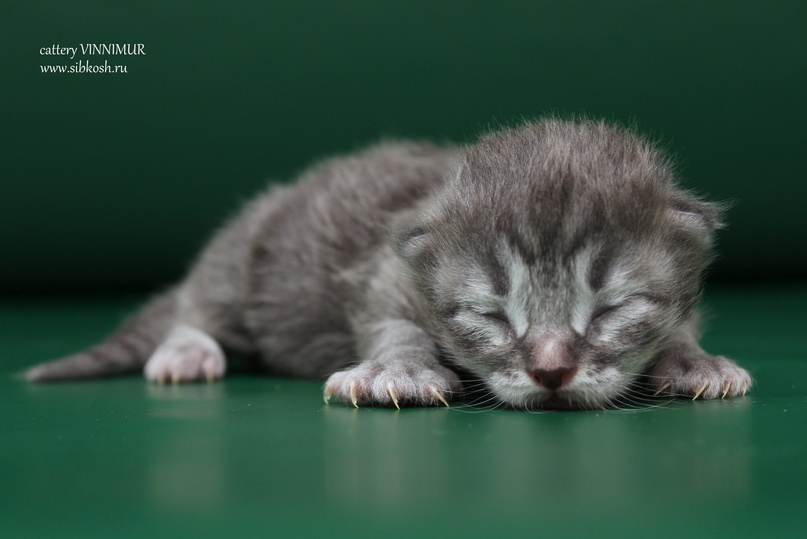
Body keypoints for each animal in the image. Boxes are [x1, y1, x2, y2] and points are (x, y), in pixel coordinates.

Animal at [26, 120, 756, 412]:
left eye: (611, 308)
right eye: (490, 313)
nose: (551, 371)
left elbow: (680, 326)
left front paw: (694, 360)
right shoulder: (385, 269)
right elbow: (394, 326)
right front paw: (396, 368)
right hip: (242, 254)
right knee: (196, 304)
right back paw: (187, 349)